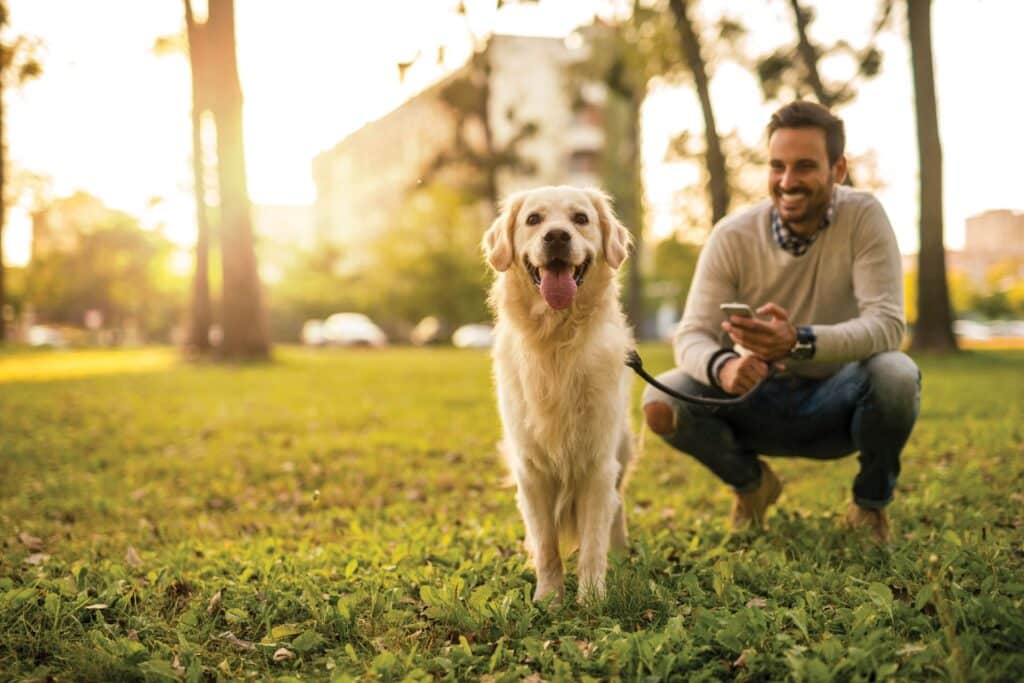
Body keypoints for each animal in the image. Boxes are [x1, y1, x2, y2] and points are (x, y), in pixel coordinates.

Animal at [479, 183, 630, 602]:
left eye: (580, 218)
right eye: (534, 219)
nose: (558, 236)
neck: (556, 341)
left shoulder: (598, 464)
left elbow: (593, 544)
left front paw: (592, 599)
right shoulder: (531, 469)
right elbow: (547, 544)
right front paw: (549, 599)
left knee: (617, 506)